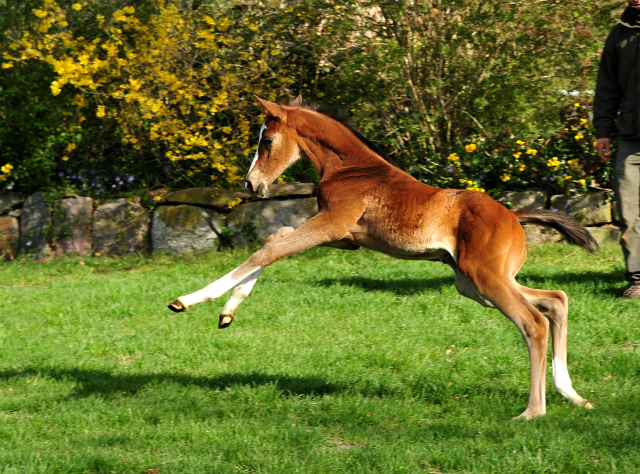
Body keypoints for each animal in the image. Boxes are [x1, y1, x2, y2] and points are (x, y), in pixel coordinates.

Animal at [169, 95, 596, 418]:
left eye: (266, 142)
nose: (250, 184)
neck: (351, 167)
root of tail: (513, 215)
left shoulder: (330, 225)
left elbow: (269, 248)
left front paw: (189, 300)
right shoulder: (344, 237)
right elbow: (277, 236)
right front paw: (227, 312)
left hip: (484, 277)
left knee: (534, 322)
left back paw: (534, 411)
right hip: (474, 282)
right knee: (556, 301)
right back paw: (572, 394)